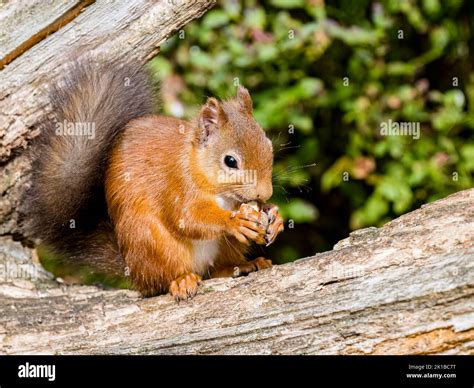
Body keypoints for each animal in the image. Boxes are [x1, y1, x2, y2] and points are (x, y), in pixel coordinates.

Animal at [24, 58, 284, 300]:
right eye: (230, 161)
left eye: (269, 146)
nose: (265, 193)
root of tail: (133, 269)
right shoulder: (175, 183)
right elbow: (187, 217)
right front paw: (235, 221)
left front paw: (275, 216)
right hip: (154, 243)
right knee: (162, 280)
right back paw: (182, 280)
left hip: (222, 248)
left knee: (217, 270)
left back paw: (244, 266)